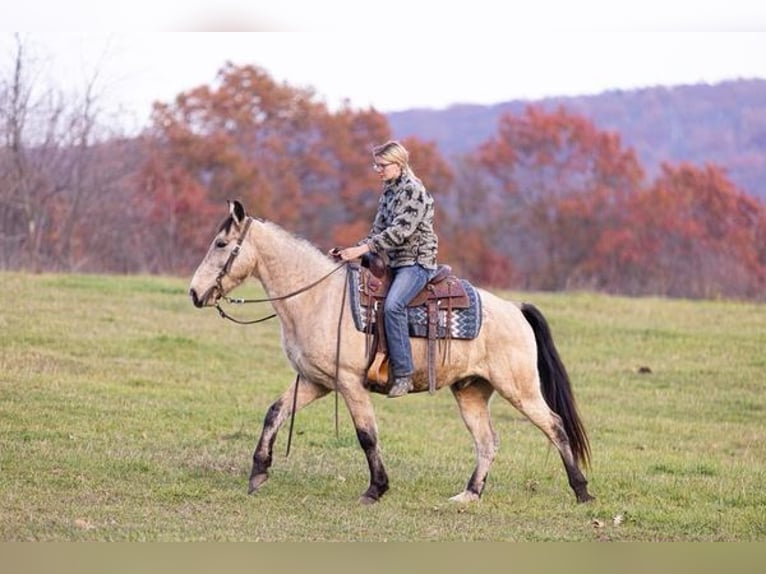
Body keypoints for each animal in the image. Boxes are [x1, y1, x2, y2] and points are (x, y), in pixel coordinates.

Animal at [189, 200, 596, 506]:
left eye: (221, 244)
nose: (194, 292)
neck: (318, 298)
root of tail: (515, 308)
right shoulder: (314, 381)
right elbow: (275, 412)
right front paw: (258, 472)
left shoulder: (349, 383)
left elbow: (366, 435)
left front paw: (375, 489)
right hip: (471, 390)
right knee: (487, 440)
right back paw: (469, 494)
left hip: (520, 389)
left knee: (554, 425)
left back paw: (582, 492)